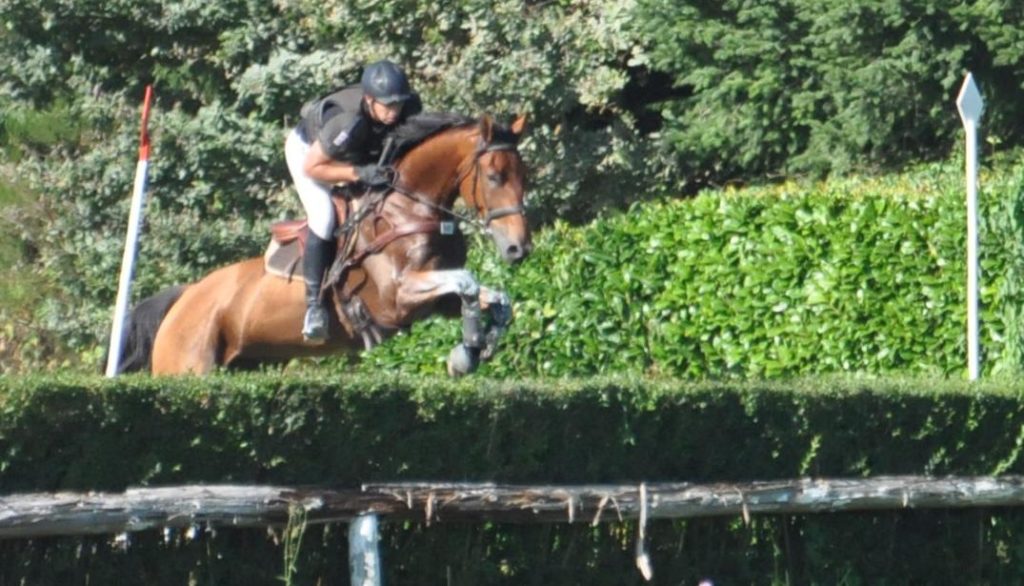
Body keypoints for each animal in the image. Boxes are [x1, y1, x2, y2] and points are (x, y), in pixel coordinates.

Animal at [117, 113, 536, 374]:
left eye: (524, 175)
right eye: (495, 176)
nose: (519, 249)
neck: (407, 208)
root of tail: (185, 297)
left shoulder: (435, 299)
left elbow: (494, 298)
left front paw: (473, 348)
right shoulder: (398, 299)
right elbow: (467, 280)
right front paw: (467, 351)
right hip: (187, 365)